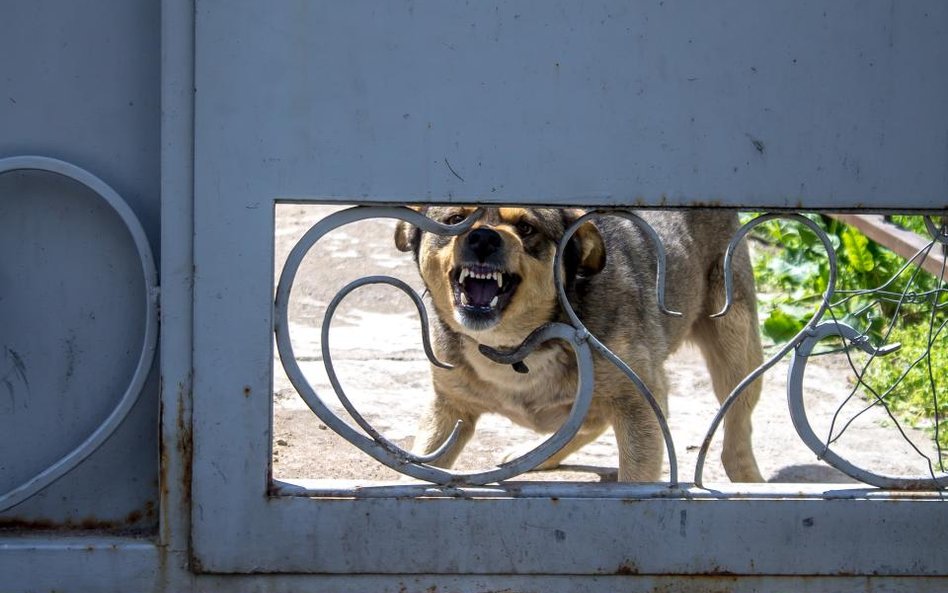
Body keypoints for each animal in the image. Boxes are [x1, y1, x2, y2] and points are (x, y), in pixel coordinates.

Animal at [392, 208, 764, 480]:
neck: (517, 347)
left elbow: (636, 475)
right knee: (590, 421)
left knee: (736, 432)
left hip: (736, 346)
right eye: (455, 219)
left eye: (526, 227)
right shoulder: (449, 408)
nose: (483, 237)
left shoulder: (639, 404)